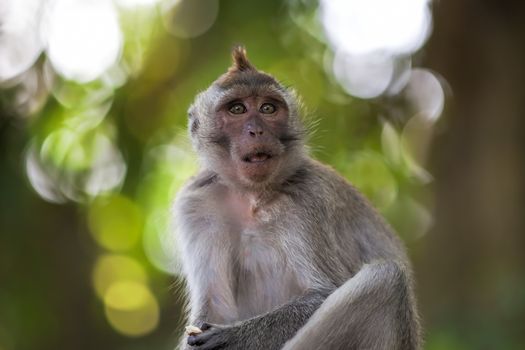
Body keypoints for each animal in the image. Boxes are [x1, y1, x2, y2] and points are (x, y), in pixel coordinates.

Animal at [174, 46, 420, 350]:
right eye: (237, 109)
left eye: (268, 108)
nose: (256, 130)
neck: (253, 196)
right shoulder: (197, 205)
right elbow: (214, 307)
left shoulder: (308, 199)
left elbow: (322, 293)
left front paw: (230, 337)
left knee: (387, 278)